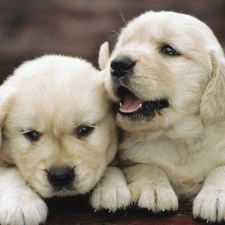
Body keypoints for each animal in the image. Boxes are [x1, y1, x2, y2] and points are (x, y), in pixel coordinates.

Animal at [0, 55, 130, 225]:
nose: (61, 177)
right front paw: (21, 203)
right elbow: (8, 170)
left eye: (84, 129)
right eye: (32, 134)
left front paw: (112, 187)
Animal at [100, 11, 225, 223]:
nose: (118, 64)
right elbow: (145, 166)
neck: (178, 138)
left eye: (168, 50)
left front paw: (215, 196)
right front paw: (154, 188)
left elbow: (221, 169)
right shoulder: (128, 160)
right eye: (123, 46)